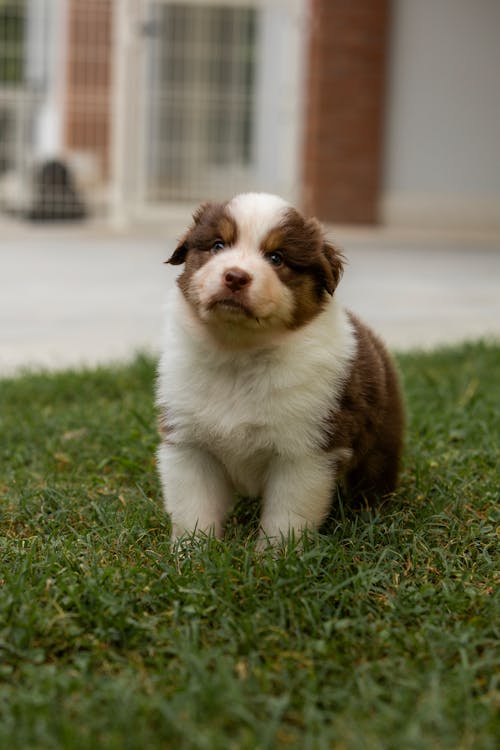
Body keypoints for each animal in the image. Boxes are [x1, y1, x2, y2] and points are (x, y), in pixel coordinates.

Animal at [158, 192, 404, 548]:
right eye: (218, 245)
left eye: (276, 258)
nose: (235, 276)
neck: (238, 355)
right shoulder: (189, 444)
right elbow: (194, 508)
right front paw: (193, 552)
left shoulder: (304, 452)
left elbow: (286, 517)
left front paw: (275, 556)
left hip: (381, 437)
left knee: (374, 474)